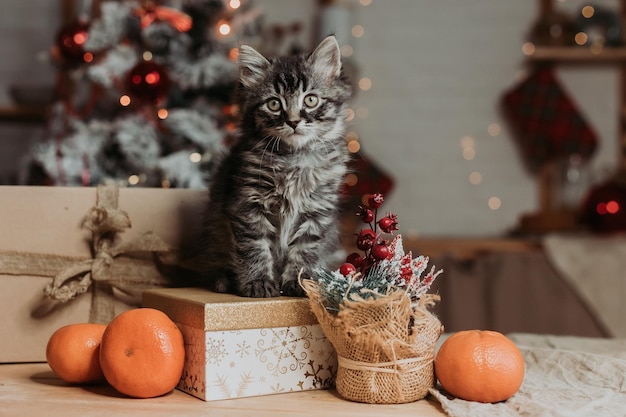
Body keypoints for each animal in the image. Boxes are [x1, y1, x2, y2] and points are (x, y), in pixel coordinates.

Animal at [202, 35, 352, 296]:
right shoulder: (248, 204)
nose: (293, 121)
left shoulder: (317, 209)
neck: (295, 158)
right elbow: (254, 248)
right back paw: (224, 279)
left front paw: (299, 282)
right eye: (274, 104)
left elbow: (305, 250)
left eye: (310, 100)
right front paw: (258, 282)